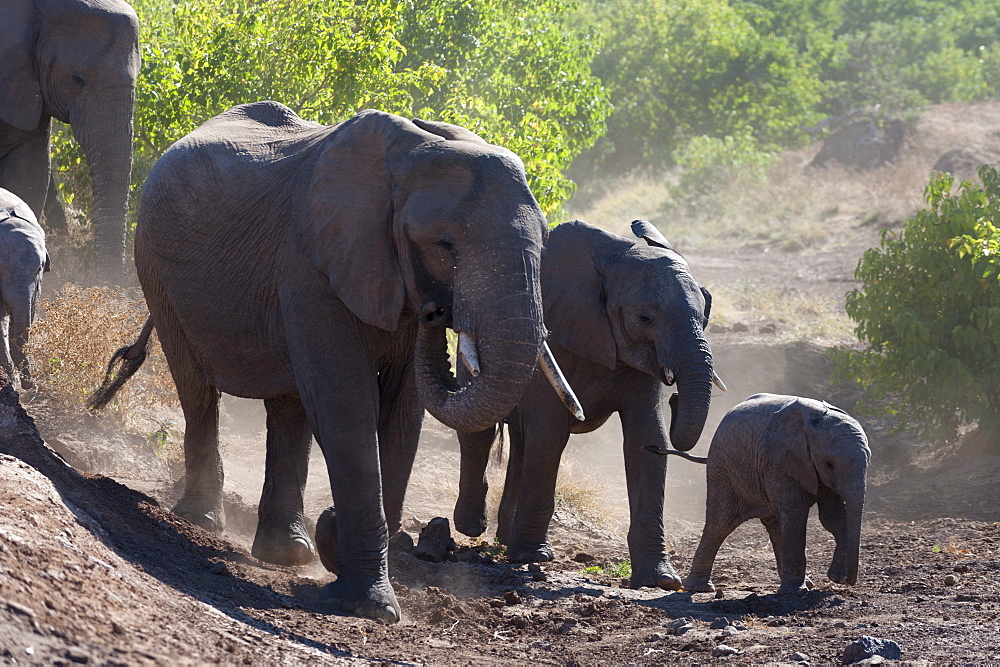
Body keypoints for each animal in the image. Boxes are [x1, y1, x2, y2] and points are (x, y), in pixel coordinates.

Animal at [90, 102, 584, 624]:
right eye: (444, 244)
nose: (436, 311)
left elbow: (401, 416)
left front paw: (337, 551)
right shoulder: (312, 266)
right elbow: (347, 405)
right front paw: (371, 608)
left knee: (289, 407)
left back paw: (289, 552)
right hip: (157, 270)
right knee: (198, 390)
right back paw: (202, 521)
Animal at [458, 219, 724, 588]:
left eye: (706, 314)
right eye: (645, 318)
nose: (674, 396)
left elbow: (645, 438)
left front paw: (661, 580)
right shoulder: (553, 336)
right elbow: (551, 433)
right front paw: (532, 557)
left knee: (523, 443)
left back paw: (505, 540)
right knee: (481, 429)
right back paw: (473, 527)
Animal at [684, 392, 872, 596]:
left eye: (868, 461)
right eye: (829, 464)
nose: (848, 581)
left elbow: (833, 517)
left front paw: (834, 577)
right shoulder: (779, 462)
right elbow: (796, 514)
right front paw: (796, 592)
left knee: (775, 525)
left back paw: (805, 583)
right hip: (723, 466)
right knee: (720, 524)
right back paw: (699, 587)